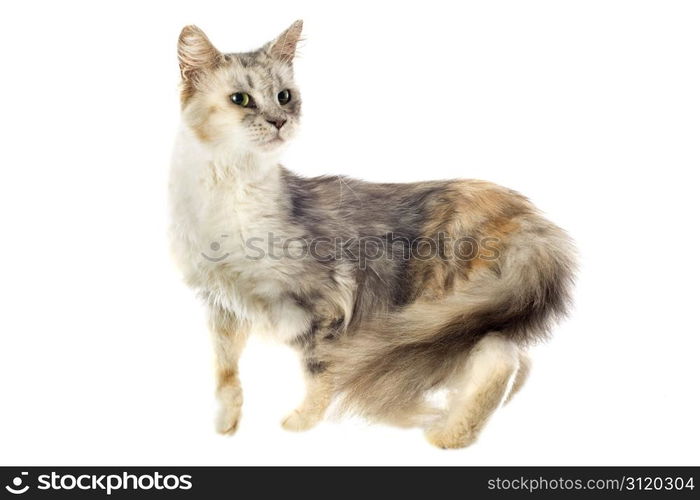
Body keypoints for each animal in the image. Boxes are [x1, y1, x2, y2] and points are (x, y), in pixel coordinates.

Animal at [168, 20, 576, 450]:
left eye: (284, 96)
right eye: (240, 99)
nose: (279, 121)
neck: (226, 197)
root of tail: (528, 214)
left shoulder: (325, 304)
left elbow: (319, 373)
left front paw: (300, 425)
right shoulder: (221, 307)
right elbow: (225, 375)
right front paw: (224, 426)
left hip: (443, 307)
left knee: (500, 358)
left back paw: (446, 435)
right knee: (516, 360)